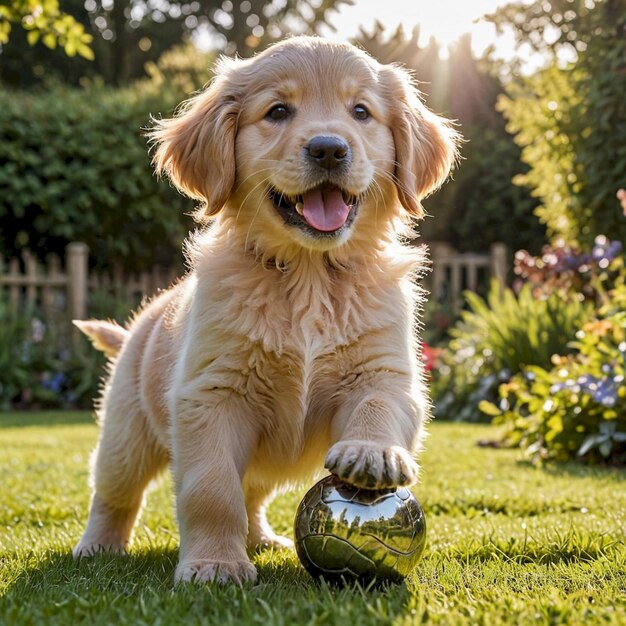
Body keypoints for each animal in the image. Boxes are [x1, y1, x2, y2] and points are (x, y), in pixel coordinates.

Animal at [73, 35, 458, 580]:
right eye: (278, 111)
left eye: (361, 112)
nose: (329, 148)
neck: (308, 274)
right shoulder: (212, 394)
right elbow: (212, 489)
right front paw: (215, 563)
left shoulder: (385, 370)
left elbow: (379, 404)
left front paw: (371, 452)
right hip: (125, 435)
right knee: (114, 492)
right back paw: (98, 546)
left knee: (252, 493)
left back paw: (261, 539)